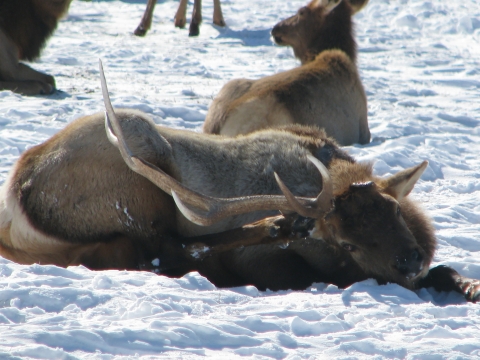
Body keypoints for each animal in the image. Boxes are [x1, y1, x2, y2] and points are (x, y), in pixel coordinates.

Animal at [0, 63, 478, 302]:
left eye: (393, 209)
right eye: (347, 243)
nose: (409, 261)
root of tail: (18, 191)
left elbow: (447, 269)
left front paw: (467, 286)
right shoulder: (267, 264)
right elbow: (309, 275)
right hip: (139, 171)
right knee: (164, 251)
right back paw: (274, 226)